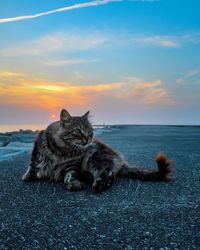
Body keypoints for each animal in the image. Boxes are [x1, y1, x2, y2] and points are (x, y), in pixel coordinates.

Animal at [21, 108, 172, 192]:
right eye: (78, 131)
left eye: (90, 132)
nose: (88, 139)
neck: (63, 150)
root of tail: (120, 159)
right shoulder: (37, 150)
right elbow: (33, 165)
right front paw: (28, 176)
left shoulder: (72, 165)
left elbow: (70, 175)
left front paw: (73, 183)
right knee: (110, 174)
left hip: (94, 159)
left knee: (104, 172)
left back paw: (99, 185)